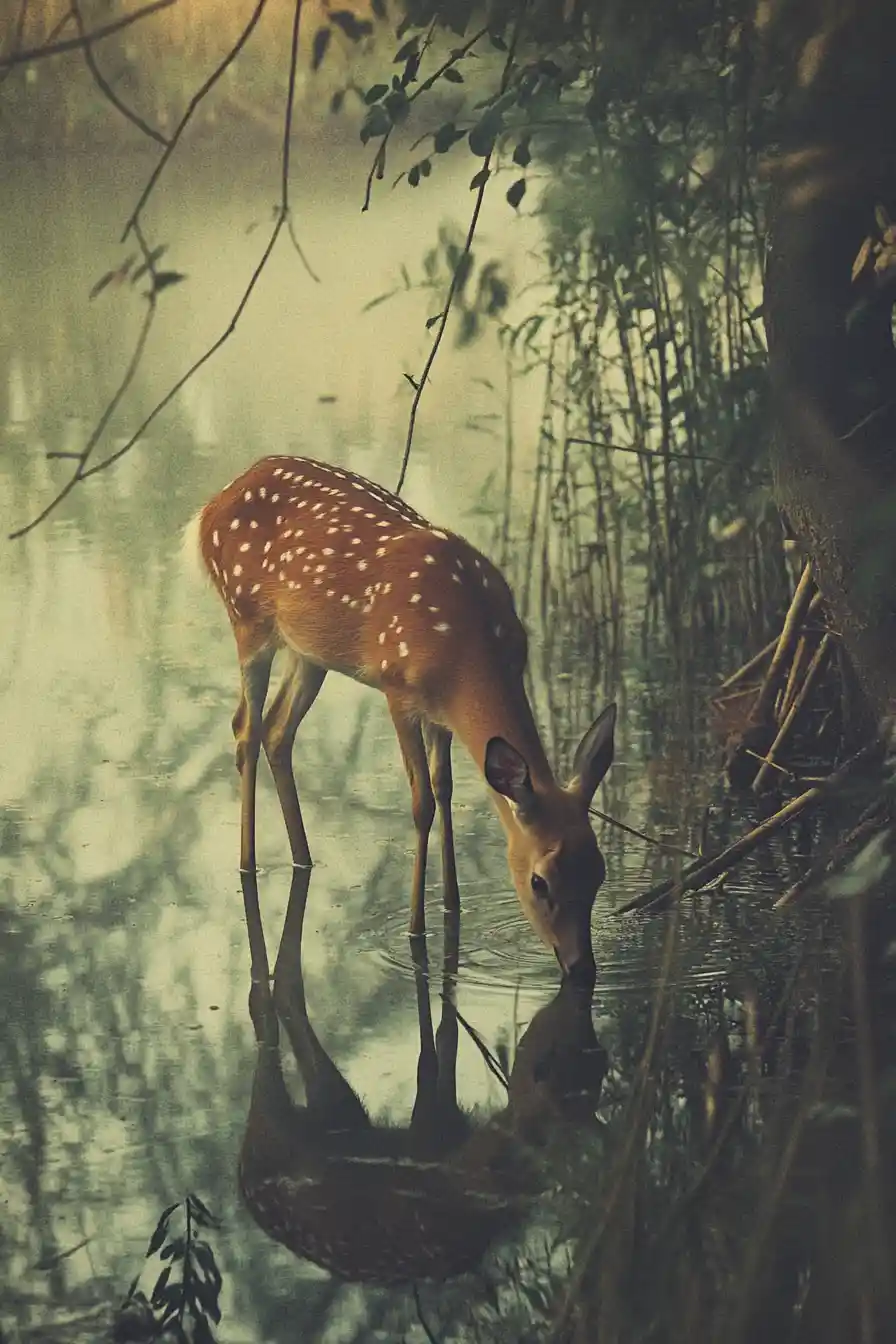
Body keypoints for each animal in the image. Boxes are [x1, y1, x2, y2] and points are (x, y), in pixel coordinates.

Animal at [185, 455, 617, 976]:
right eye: (540, 881)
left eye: (599, 872)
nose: (581, 967)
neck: (467, 650)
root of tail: (211, 506)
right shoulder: (397, 687)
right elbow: (422, 803)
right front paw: (415, 929)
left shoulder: (440, 713)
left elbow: (445, 789)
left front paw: (452, 904)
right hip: (247, 618)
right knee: (245, 729)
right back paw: (248, 864)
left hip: (309, 652)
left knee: (275, 730)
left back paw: (304, 858)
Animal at [238, 865, 607, 1284]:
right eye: (544, 890)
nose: (581, 970)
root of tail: (242, 1171)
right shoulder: (429, 1132)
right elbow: (430, 1060)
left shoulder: (444, 1125)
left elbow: (445, 1043)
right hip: (278, 1122)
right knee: (266, 1017)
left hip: (338, 1113)